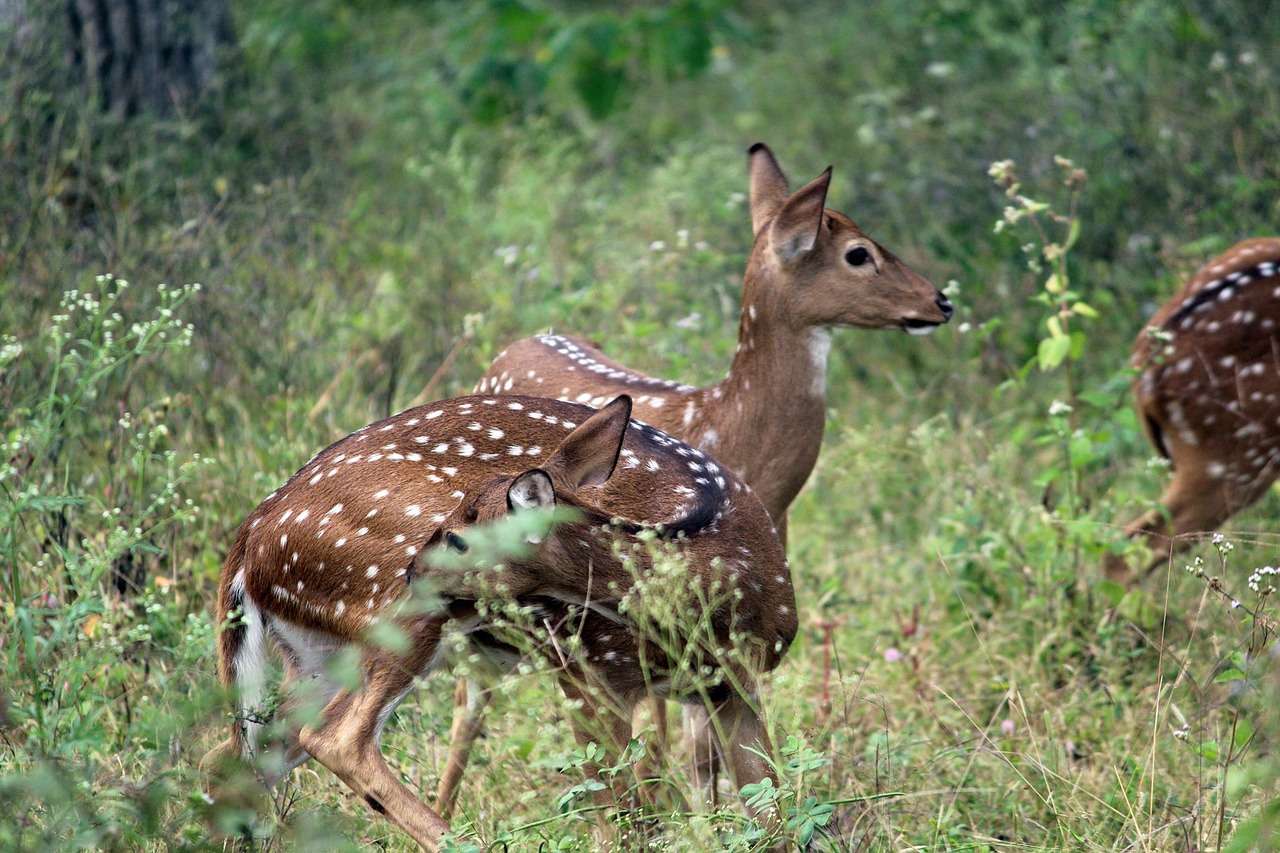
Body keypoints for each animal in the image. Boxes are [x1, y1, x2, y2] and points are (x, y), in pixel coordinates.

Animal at [200, 394, 793, 845]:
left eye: (461, 537)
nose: (413, 568)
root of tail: (252, 535)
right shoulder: (589, 669)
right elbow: (619, 819)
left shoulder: (735, 686)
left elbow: (772, 813)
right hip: (397, 622)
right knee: (338, 740)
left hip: (317, 657)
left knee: (233, 760)